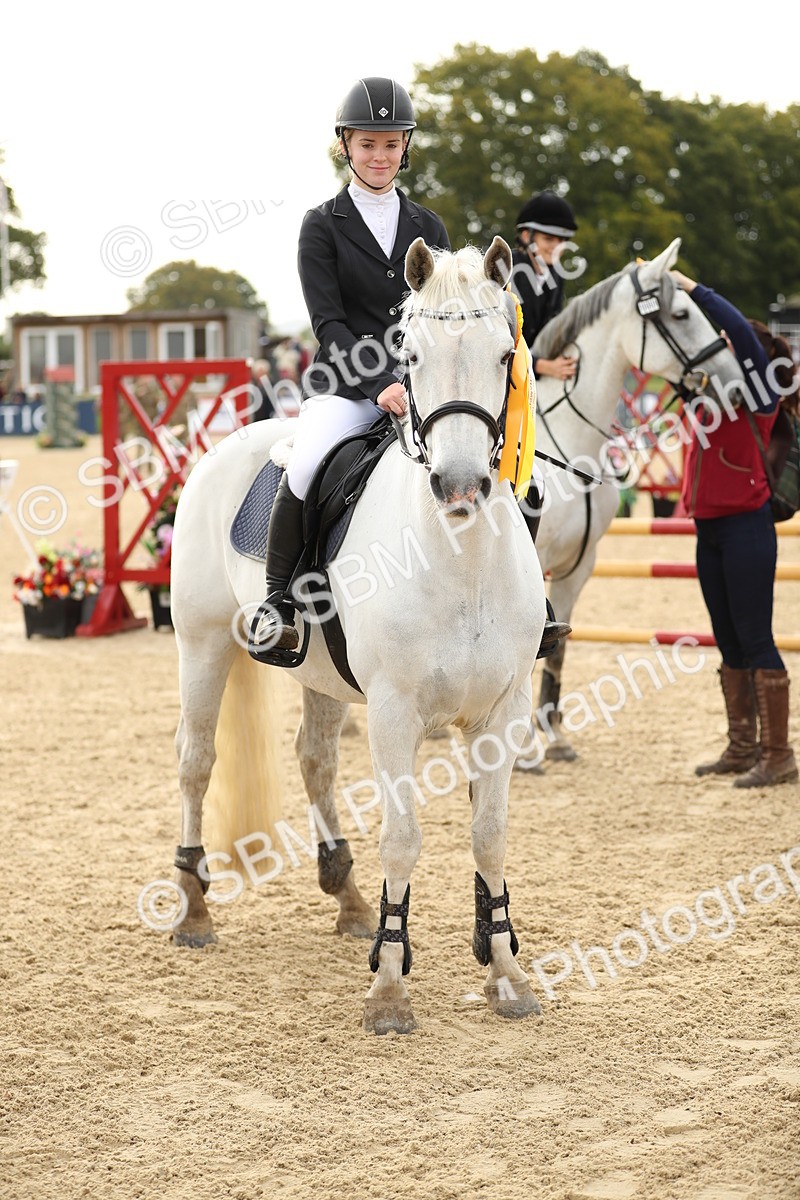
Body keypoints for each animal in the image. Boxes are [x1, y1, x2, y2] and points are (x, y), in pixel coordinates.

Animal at [169, 236, 547, 1034]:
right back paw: (193, 908)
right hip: (203, 643)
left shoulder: (502, 712)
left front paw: (505, 972)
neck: (461, 558)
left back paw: (344, 895)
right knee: (195, 760)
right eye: (410, 355)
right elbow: (403, 838)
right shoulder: (396, 712)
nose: (460, 487)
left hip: (317, 674)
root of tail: (227, 442)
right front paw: (390, 988)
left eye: (505, 355)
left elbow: (490, 834)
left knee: (314, 759)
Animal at [525, 237, 743, 762]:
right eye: (681, 314)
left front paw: (555, 738)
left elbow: (557, 649)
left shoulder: (578, 566)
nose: (731, 381)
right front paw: (523, 751)